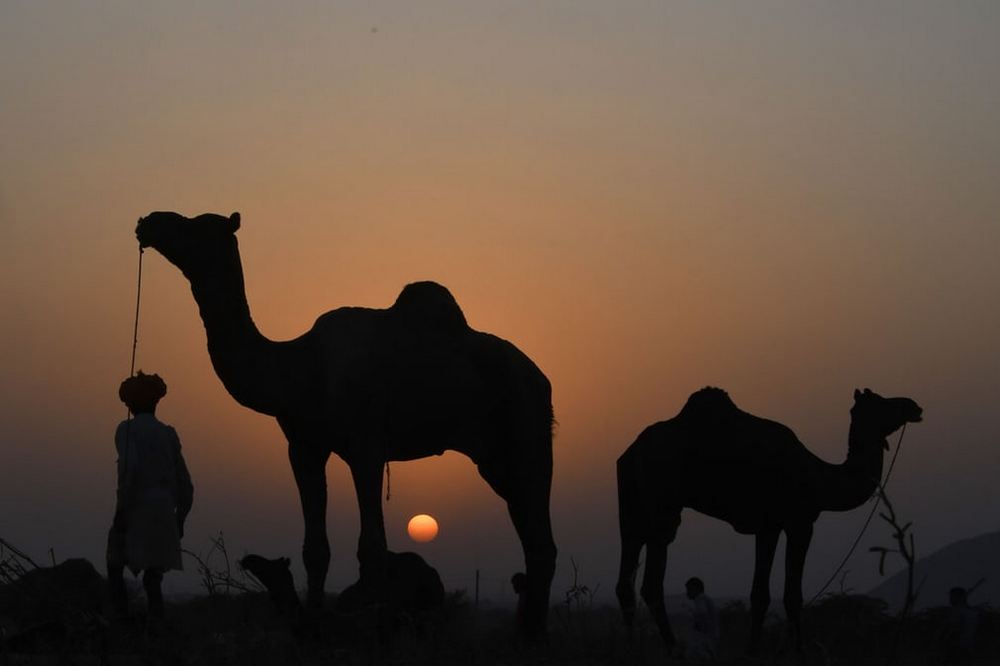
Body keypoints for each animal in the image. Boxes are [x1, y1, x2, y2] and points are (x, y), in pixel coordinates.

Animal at [133, 210, 556, 636]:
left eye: (197, 226)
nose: (149, 221)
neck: (298, 369)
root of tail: (540, 377)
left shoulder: (365, 444)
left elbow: (372, 546)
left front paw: (380, 624)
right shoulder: (303, 446)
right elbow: (315, 548)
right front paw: (312, 625)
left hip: (528, 426)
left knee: (540, 537)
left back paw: (533, 634)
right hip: (497, 459)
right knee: (533, 539)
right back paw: (527, 632)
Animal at [612, 386, 924, 652]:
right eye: (881, 402)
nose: (914, 405)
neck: (819, 477)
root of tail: (630, 453)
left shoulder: (768, 526)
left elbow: (760, 594)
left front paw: (753, 651)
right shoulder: (800, 522)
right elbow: (792, 595)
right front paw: (800, 652)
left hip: (631, 512)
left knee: (626, 579)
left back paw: (632, 650)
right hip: (661, 508)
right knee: (652, 582)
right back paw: (673, 650)